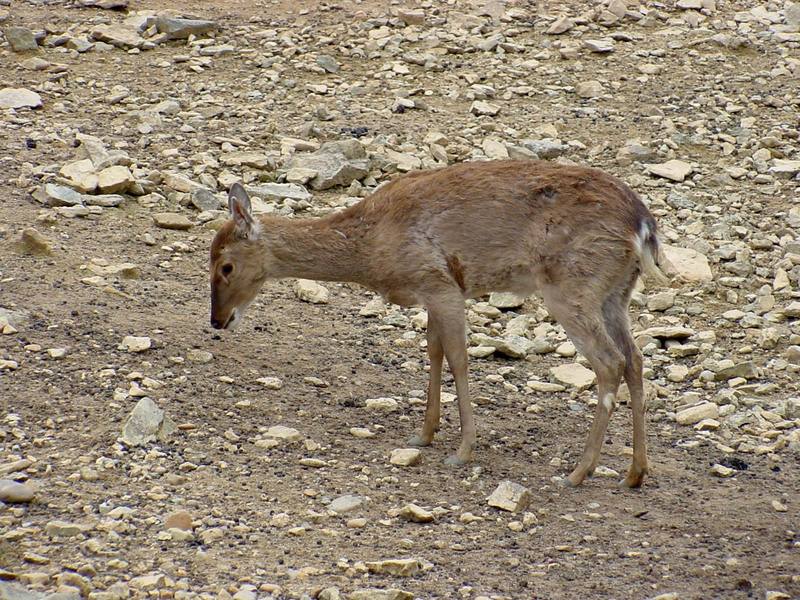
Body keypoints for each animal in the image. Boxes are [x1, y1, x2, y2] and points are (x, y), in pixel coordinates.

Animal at [209, 158, 664, 488]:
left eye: (226, 266)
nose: (217, 320)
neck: (371, 248)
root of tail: (643, 227)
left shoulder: (441, 283)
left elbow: (459, 359)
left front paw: (462, 450)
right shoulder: (429, 292)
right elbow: (434, 353)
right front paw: (424, 434)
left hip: (572, 286)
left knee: (610, 363)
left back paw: (578, 473)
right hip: (615, 292)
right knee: (635, 359)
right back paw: (634, 473)